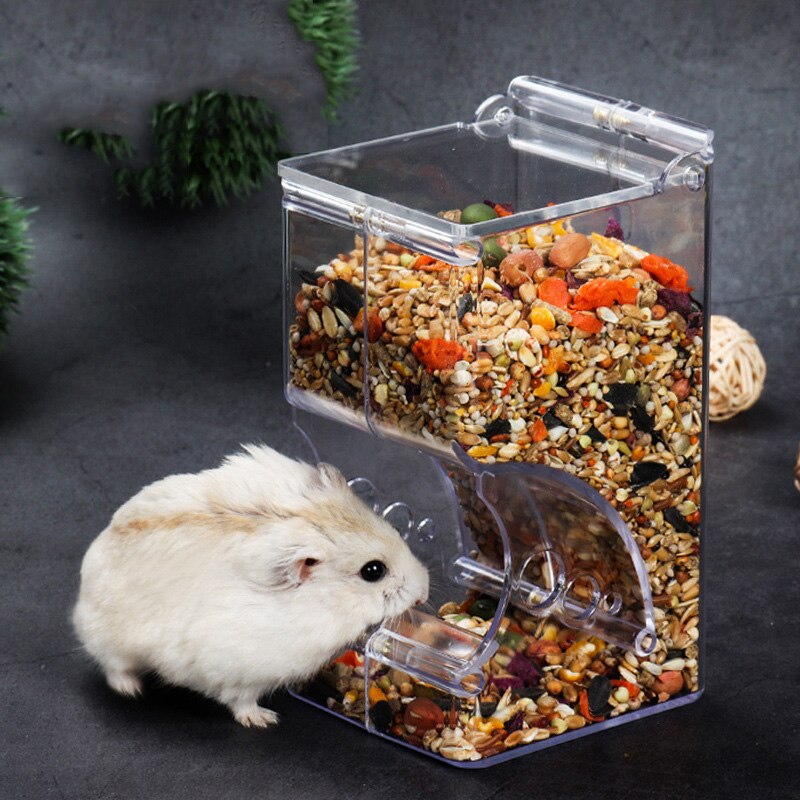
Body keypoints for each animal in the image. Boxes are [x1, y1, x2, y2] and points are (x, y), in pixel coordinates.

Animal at [73, 444, 429, 727]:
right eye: (373, 571)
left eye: (395, 530)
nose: (424, 591)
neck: (323, 604)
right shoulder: (239, 670)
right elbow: (241, 701)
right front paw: (265, 720)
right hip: (108, 640)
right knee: (112, 665)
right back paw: (130, 689)